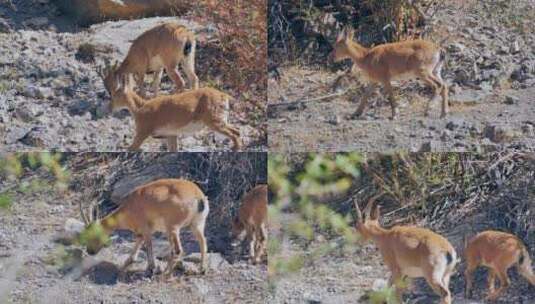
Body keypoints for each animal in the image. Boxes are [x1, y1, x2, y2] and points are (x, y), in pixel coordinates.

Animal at [80, 179, 210, 276]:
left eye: (94, 236)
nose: (90, 251)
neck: (129, 208)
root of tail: (199, 196)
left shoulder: (146, 229)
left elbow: (148, 246)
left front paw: (151, 268)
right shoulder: (141, 232)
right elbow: (139, 242)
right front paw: (130, 260)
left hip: (173, 227)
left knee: (178, 250)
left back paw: (166, 273)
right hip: (197, 224)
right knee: (202, 242)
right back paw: (201, 269)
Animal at [98, 67, 243, 152]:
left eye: (115, 95)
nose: (109, 108)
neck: (140, 107)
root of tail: (225, 96)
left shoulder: (143, 132)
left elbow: (131, 148)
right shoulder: (170, 135)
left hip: (214, 121)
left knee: (234, 133)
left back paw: (235, 149)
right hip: (221, 120)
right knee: (237, 130)